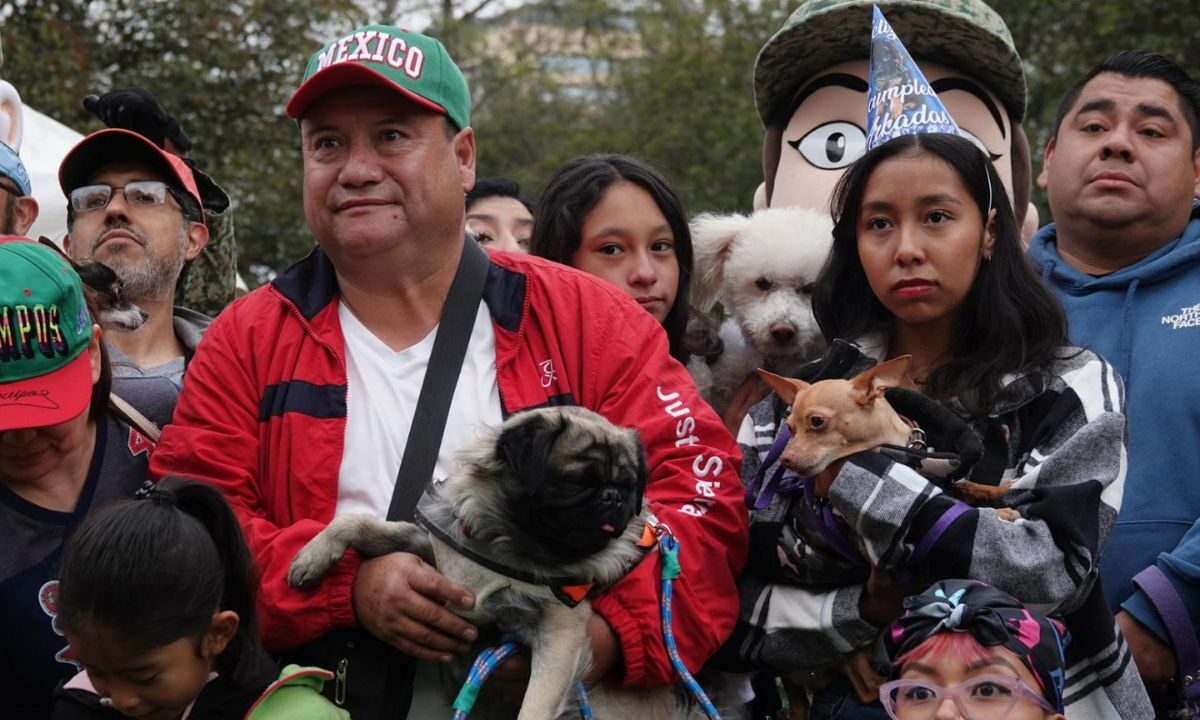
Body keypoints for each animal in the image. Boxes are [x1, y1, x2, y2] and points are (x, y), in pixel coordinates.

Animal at [286, 408, 696, 720]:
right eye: (574, 481)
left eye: (629, 485)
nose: (614, 497)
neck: (511, 542)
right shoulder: (433, 553)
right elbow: (361, 524)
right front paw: (315, 554)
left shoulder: (561, 631)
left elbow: (535, 706)